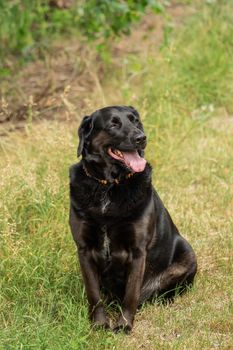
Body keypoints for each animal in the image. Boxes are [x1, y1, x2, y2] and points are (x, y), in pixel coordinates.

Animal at [69, 105, 197, 332]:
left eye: (135, 120)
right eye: (113, 124)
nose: (141, 138)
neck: (109, 187)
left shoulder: (138, 251)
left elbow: (131, 294)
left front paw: (124, 325)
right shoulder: (84, 249)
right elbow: (94, 294)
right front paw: (99, 324)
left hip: (188, 255)